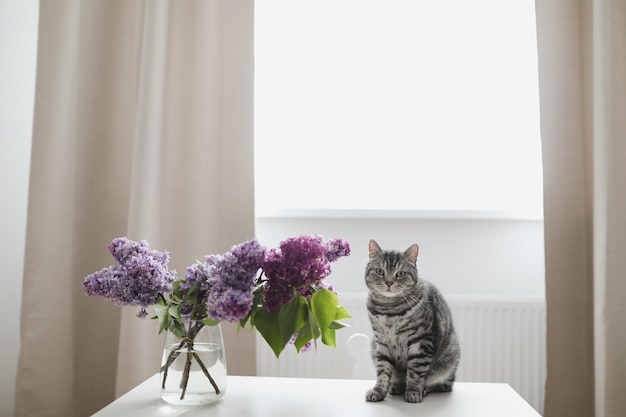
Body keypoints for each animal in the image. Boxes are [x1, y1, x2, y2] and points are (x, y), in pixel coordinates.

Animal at [360, 239, 458, 402]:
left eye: (400, 273)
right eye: (380, 271)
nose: (389, 282)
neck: (389, 310)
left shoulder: (420, 342)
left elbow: (415, 372)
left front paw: (413, 392)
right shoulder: (382, 342)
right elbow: (383, 371)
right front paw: (379, 391)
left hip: (449, 360)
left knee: (439, 383)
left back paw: (423, 389)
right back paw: (396, 386)